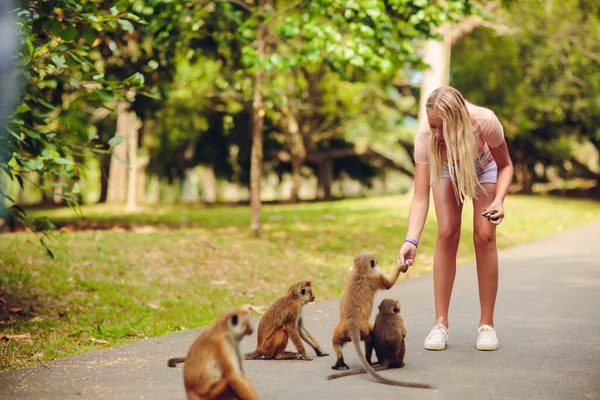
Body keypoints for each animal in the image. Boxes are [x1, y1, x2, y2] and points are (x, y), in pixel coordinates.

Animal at [328, 253, 432, 388]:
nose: (376, 260)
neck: (361, 270)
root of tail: (352, 324)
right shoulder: (376, 276)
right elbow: (389, 284)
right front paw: (401, 266)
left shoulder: (350, 274)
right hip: (364, 329)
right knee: (370, 336)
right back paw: (369, 360)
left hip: (341, 330)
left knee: (335, 341)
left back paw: (340, 362)